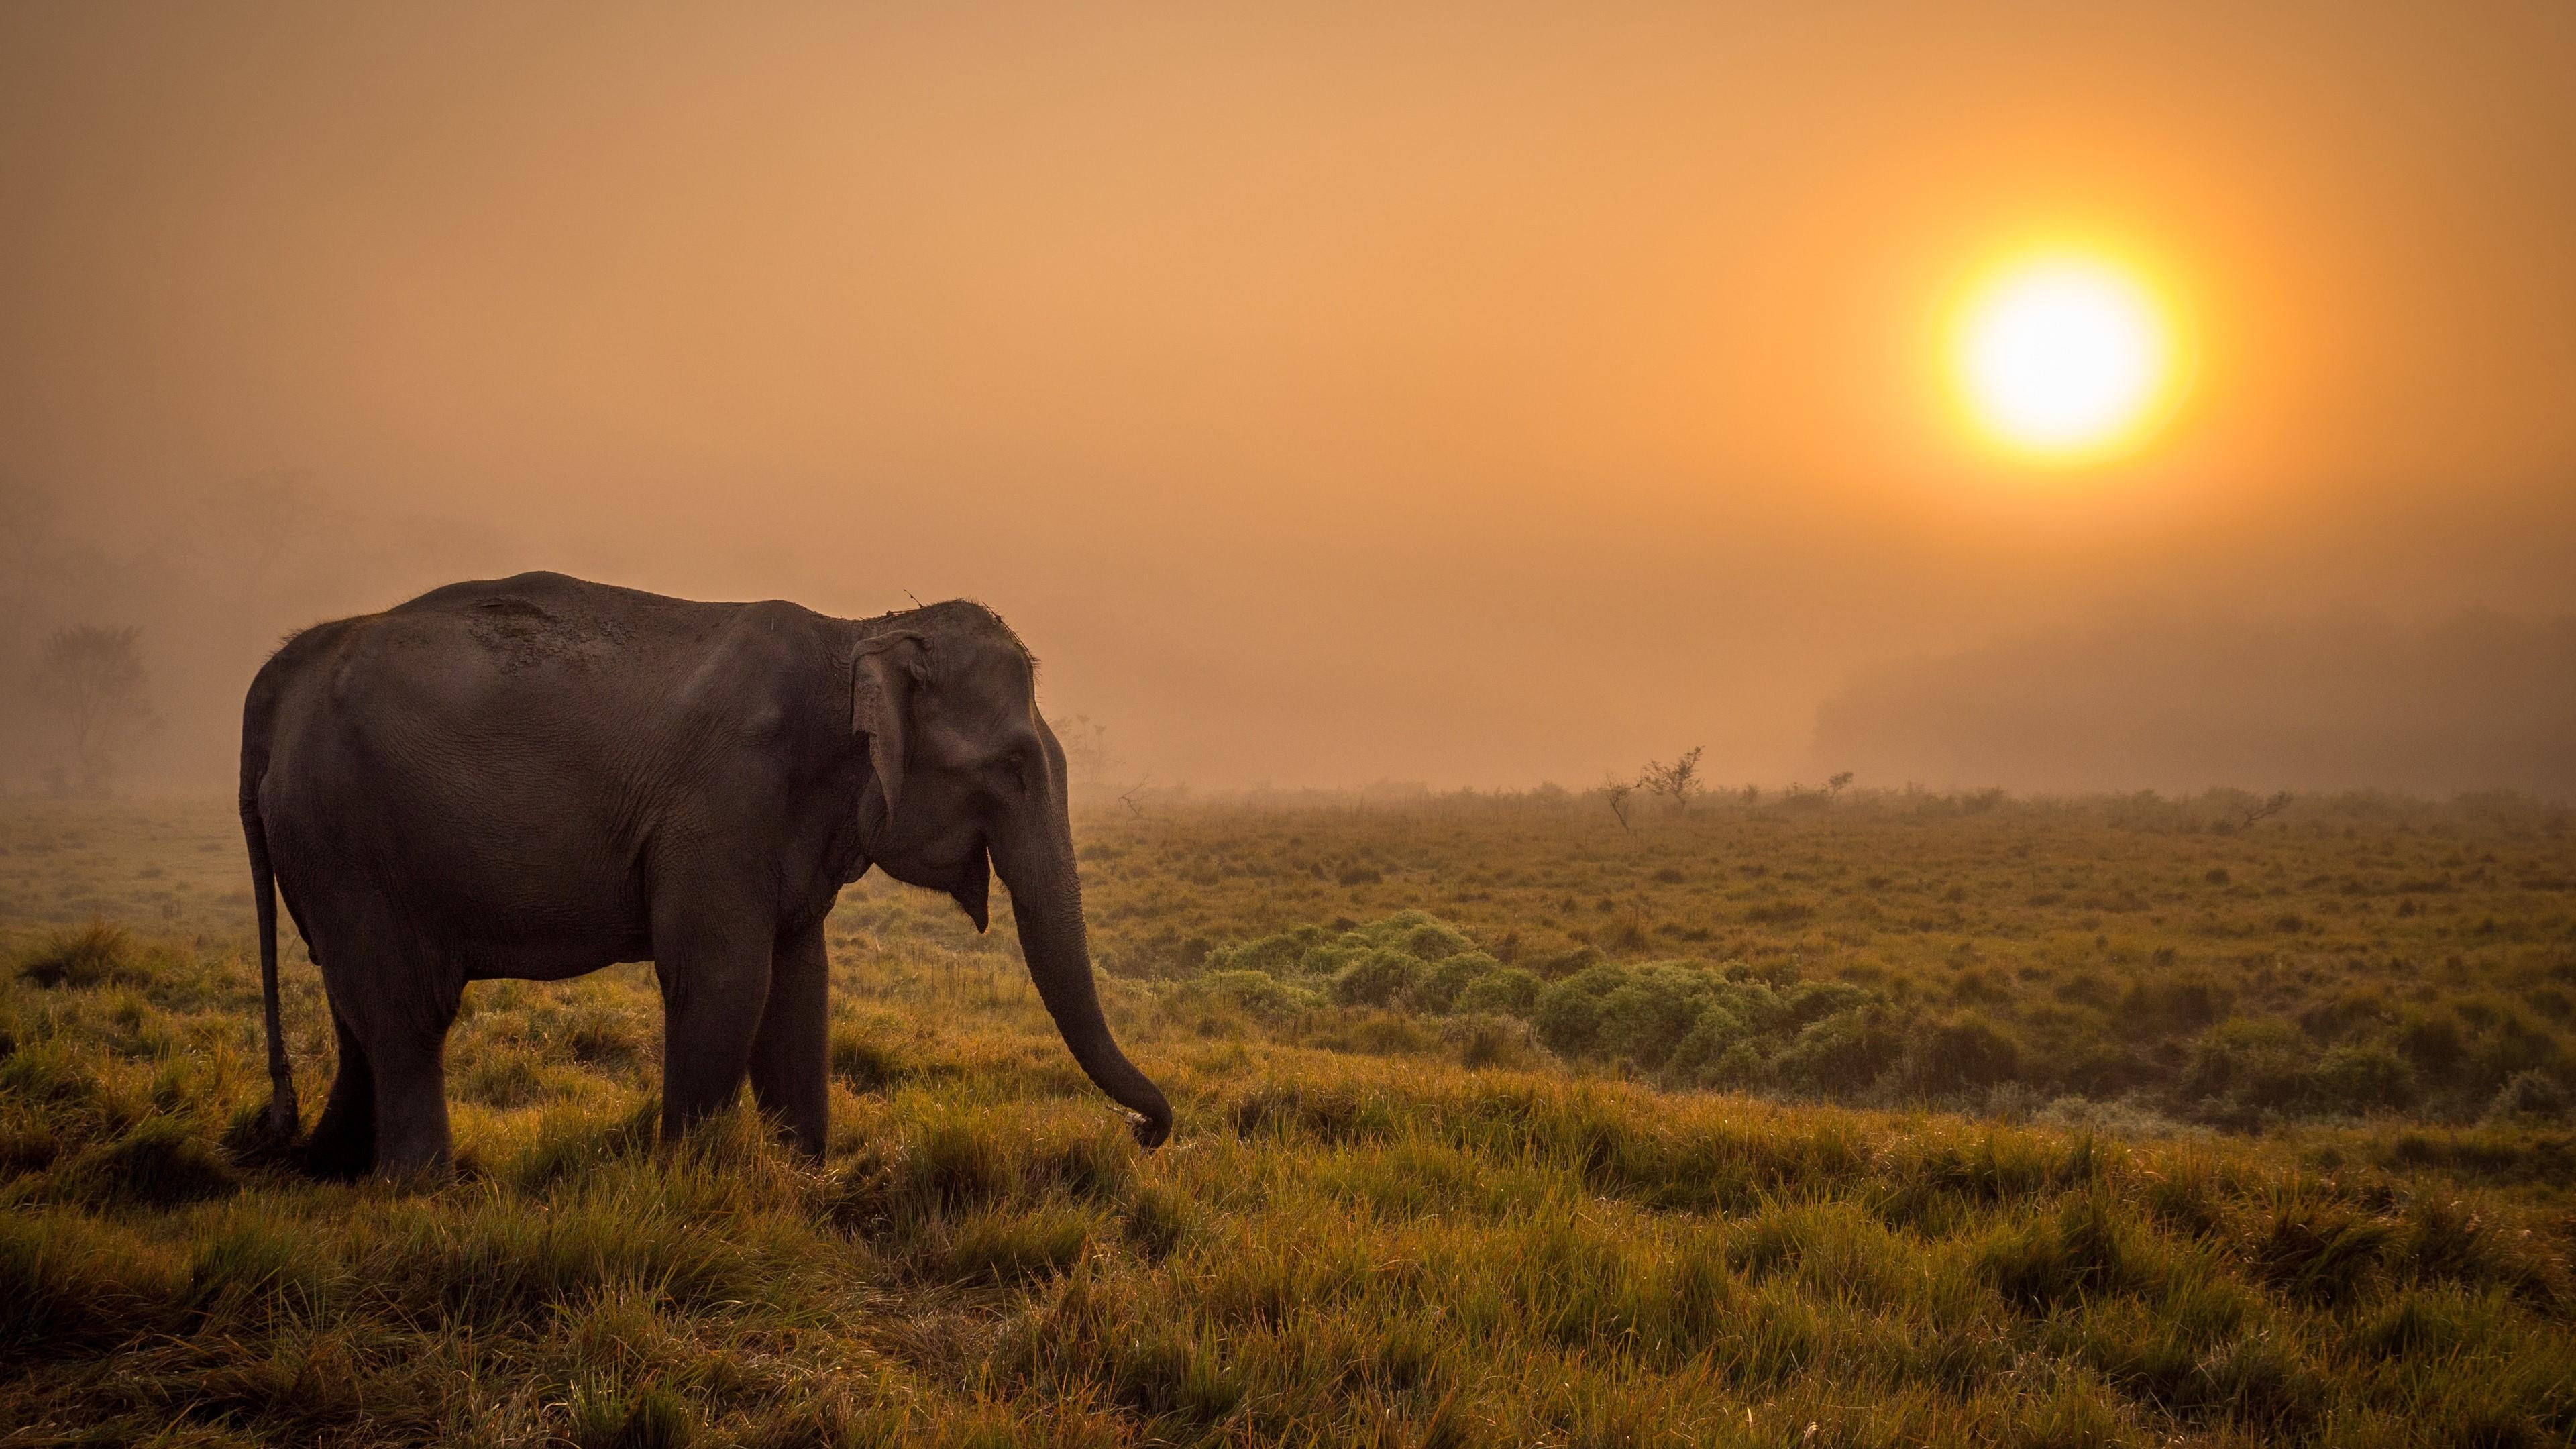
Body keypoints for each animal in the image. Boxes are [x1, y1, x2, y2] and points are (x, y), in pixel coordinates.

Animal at [238, 570, 1169, 1176]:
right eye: (1013, 767)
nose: (1142, 1130)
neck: (855, 634)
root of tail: (287, 666)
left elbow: (799, 984)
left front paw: (808, 1179)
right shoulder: (721, 803)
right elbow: (725, 979)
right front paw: (687, 1184)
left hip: (327, 847)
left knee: (355, 1004)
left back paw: (329, 1168)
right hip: (350, 833)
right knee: (405, 1010)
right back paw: (424, 1189)